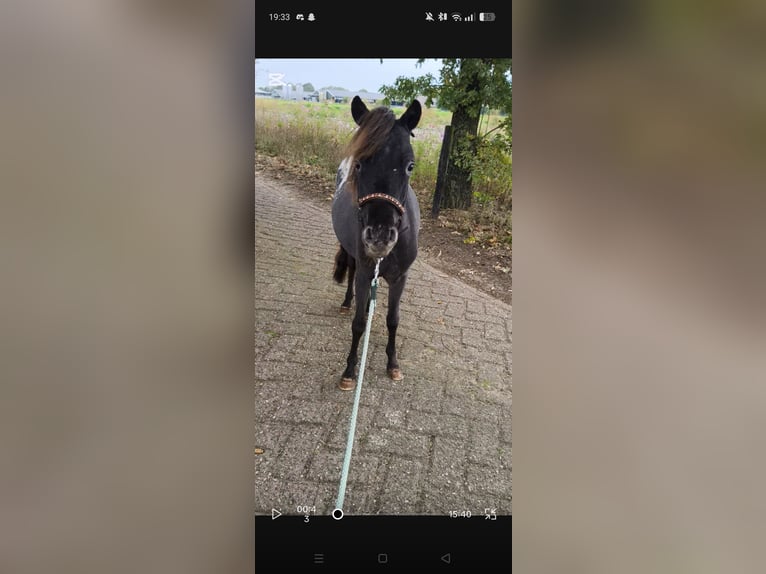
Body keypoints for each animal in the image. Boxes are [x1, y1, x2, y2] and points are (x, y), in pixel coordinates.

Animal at [331, 95, 422, 391]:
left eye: (410, 166)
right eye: (359, 164)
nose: (380, 236)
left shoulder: (400, 277)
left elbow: (393, 320)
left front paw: (393, 364)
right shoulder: (364, 271)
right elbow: (359, 324)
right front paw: (350, 370)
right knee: (349, 272)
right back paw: (346, 302)